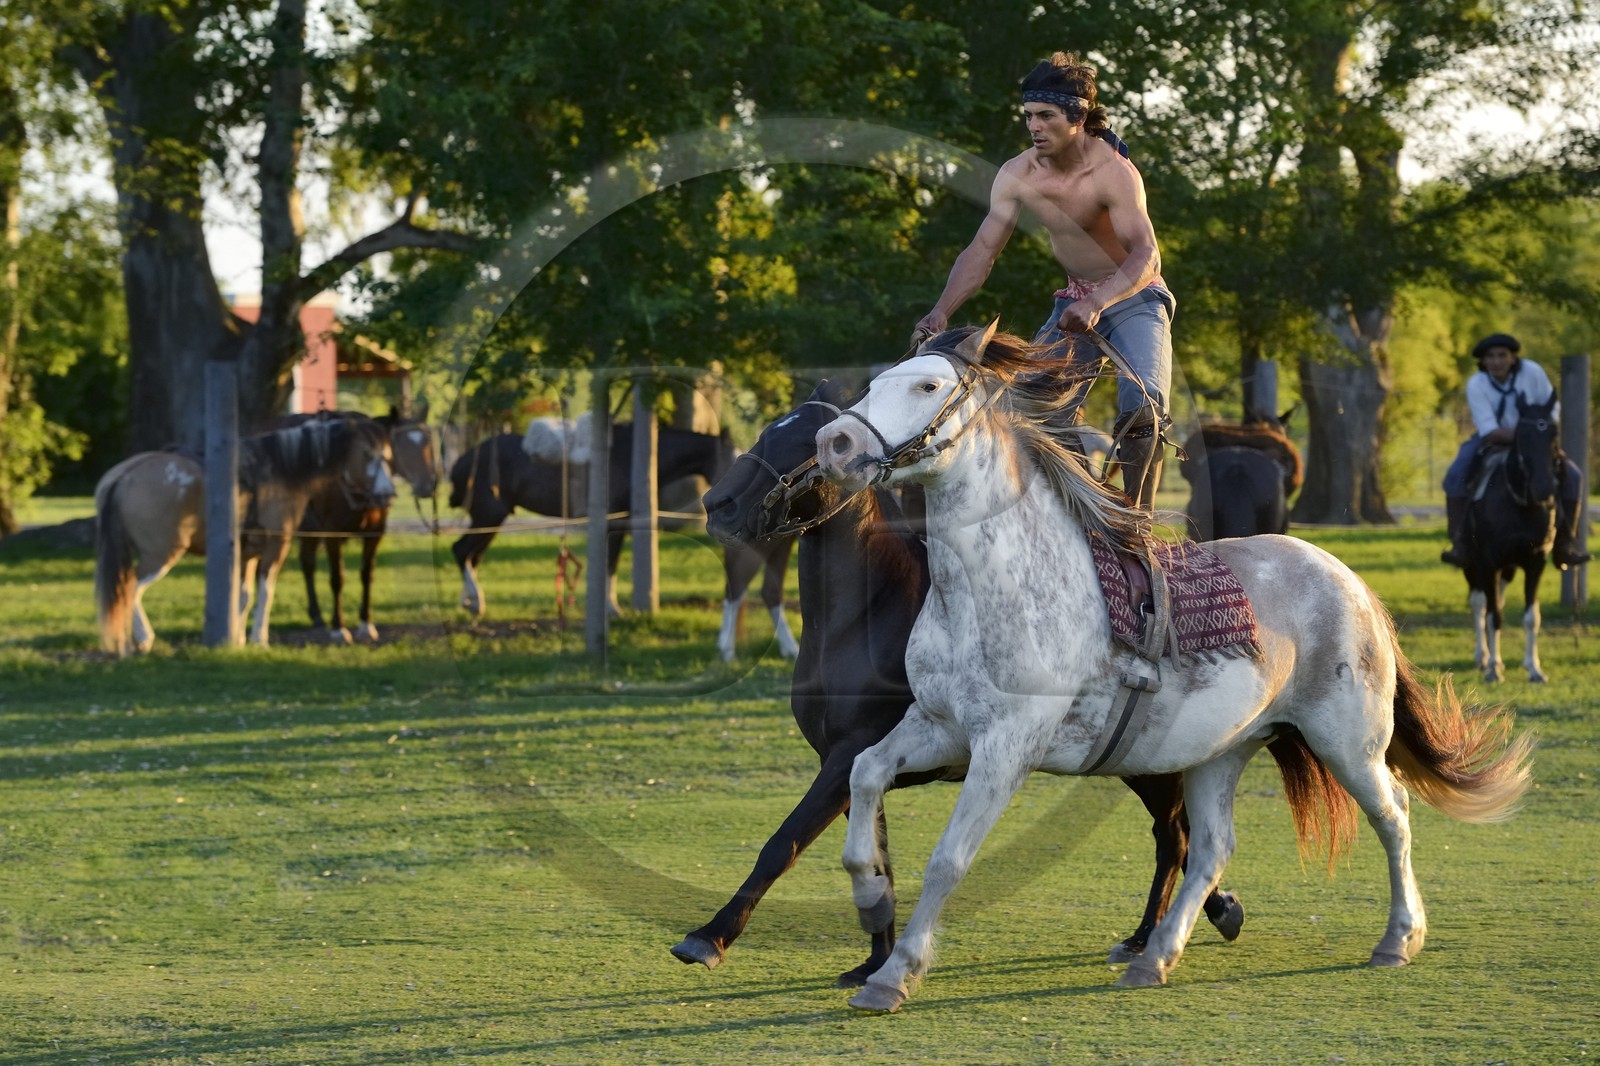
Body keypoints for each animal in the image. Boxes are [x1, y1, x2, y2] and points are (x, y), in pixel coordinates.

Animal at [95, 412, 396, 654]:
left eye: (388, 457)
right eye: (368, 455)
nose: (388, 494)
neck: (279, 471)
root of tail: (124, 474)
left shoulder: (246, 555)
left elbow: (242, 597)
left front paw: (237, 638)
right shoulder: (276, 547)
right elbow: (265, 593)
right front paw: (259, 639)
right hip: (162, 554)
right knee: (131, 587)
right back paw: (144, 638)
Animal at [284, 408, 440, 644]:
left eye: (428, 442)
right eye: (403, 444)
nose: (427, 485)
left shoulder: (375, 533)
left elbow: (367, 575)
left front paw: (366, 624)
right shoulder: (332, 533)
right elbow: (337, 578)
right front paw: (339, 628)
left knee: (307, 562)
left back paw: (317, 615)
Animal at [675, 380, 1245, 986]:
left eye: (811, 444)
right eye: (769, 431)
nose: (718, 505)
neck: (865, 619)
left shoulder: (845, 757)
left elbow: (783, 842)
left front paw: (709, 936)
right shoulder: (853, 763)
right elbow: (876, 857)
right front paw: (876, 958)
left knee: (1173, 835)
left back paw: (1154, 935)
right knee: (1178, 835)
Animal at [1461, 394, 1561, 683]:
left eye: (1554, 433)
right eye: (1523, 436)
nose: (1544, 489)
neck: (1520, 507)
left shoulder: (1535, 562)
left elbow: (1531, 617)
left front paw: (1534, 668)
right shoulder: (1488, 563)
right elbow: (1494, 616)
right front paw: (1494, 667)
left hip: (1508, 568)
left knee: (1496, 600)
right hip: (1473, 565)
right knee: (1480, 604)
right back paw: (1482, 656)